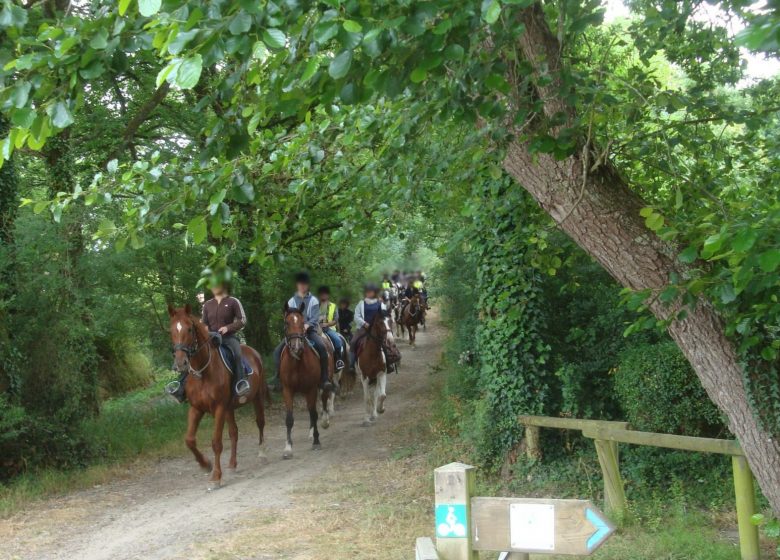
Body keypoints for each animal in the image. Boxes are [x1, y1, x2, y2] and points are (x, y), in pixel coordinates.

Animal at [168, 306, 268, 490]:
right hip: (230, 408)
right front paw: (205, 465)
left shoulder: (219, 408)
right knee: (234, 432)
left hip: (257, 398)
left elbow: (216, 442)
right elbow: (189, 440)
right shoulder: (196, 409)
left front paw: (215, 477)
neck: (203, 372)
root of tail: (253, 352)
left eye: (189, 329)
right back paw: (232, 465)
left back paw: (262, 454)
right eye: (171, 330)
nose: (180, 363)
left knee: (260, 423)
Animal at [278, 304, 334, 458]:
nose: (296, 347)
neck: (297, 362)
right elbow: (289, 418)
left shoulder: (311, 388)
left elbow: (314, 414)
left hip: (324, 382)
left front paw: (316, 441)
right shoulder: (287, 390)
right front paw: (288, 448)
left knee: (323, 399)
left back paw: (325, 422)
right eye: (287, 323)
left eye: (303, 322)